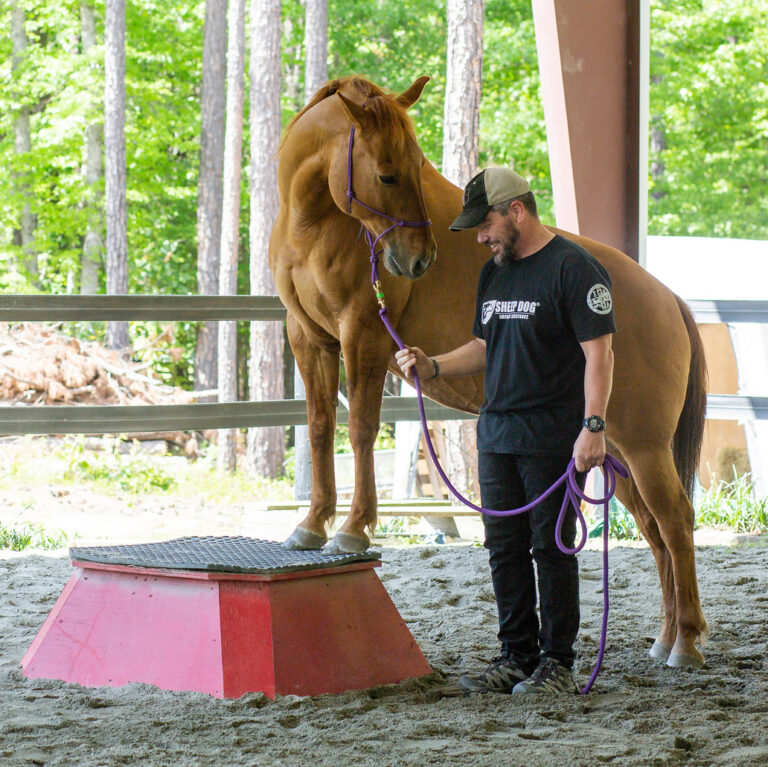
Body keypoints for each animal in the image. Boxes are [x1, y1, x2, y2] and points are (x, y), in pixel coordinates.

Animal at [269, 75, 709, 669]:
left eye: (416, 167)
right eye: (387, 174)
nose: (419, 259)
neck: (315, 223)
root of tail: (667, 300)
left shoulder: (363, 335)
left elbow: (358, 429)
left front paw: (353, 530)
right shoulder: (309, 339)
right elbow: (318, 430)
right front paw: (311, 526)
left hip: (644, 447)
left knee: (677, 522)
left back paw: (685, 643)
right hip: (613, 450)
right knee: (656, 531)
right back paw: (665, 639)